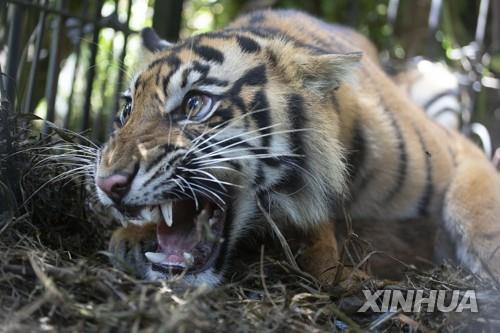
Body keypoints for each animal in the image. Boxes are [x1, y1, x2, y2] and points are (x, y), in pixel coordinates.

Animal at [94, 9, 500, 286]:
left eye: (195, 105)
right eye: (127, 110)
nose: (106, 183)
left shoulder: (460, 148)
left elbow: (477, 203)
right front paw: (132, 238)